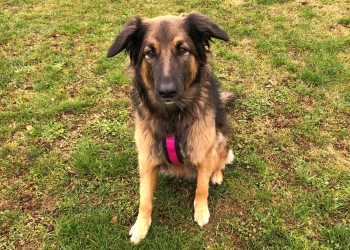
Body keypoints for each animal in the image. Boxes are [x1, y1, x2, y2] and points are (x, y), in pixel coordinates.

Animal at [106, 12, 235, 244]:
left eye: (182, 50)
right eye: (149, 53)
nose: (167, 92)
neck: (172, 116)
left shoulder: (203, 152)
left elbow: (201, 187)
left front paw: (201, 211)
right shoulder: (147, 160)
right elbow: (144, 199)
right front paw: (141, 226)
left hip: (219, 138)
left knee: (222, 158)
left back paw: (217, 175)